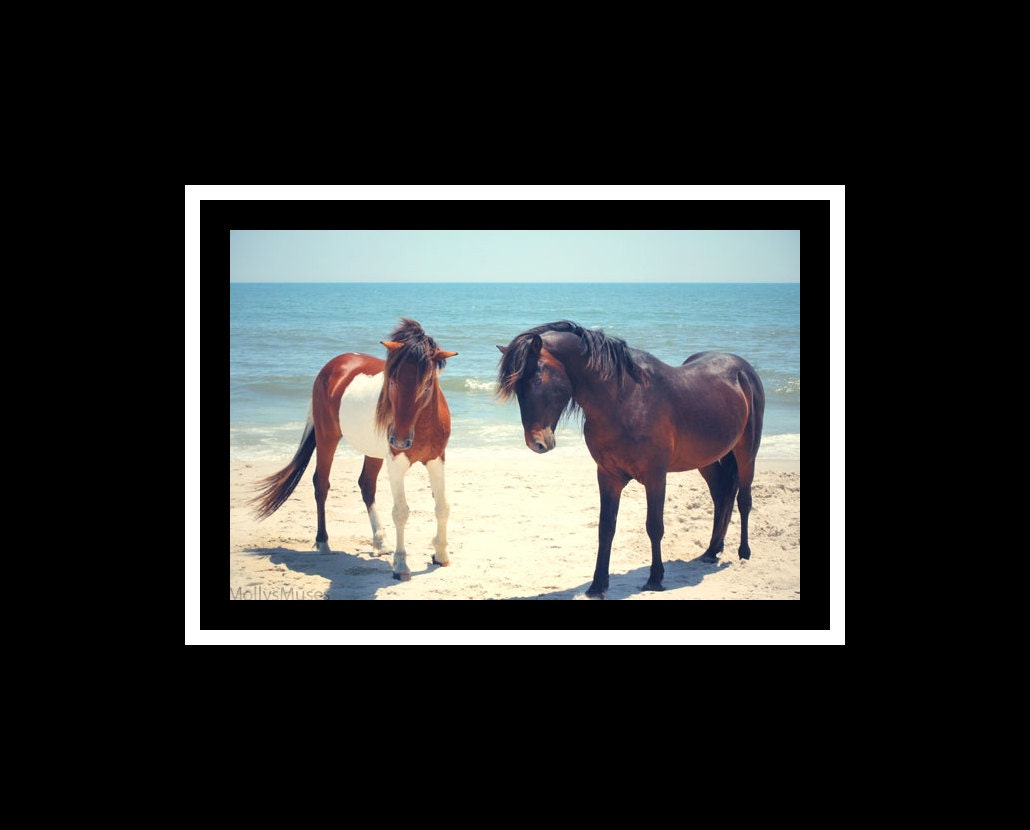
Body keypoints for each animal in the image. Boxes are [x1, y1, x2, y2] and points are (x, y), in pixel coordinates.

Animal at [251, 318, 457, 581]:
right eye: (392, 380)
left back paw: (381, 542)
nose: (399, 440)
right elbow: (401, 511)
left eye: (427, 383)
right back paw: (323, 543)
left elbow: (442, 506)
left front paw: (440, 555)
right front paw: (401, 565)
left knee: (366, 485)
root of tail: (333, 364)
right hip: (327, 438)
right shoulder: (396, 463)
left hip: (372, 452)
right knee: (321, 484)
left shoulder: (436, 459)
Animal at [497, 321, 764, 600]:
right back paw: (712, 551)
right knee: (721, 496)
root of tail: (743, 370)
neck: (627, 401)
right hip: (708, 461)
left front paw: (655, 579)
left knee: (744, 499)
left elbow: (654, 526)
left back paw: (743, 552)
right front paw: (597, 585)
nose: (536, 443)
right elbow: (606, 528)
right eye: (517, 389)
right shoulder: (608, 476)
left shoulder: (656, 476)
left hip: (747, 453)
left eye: (537, 379)